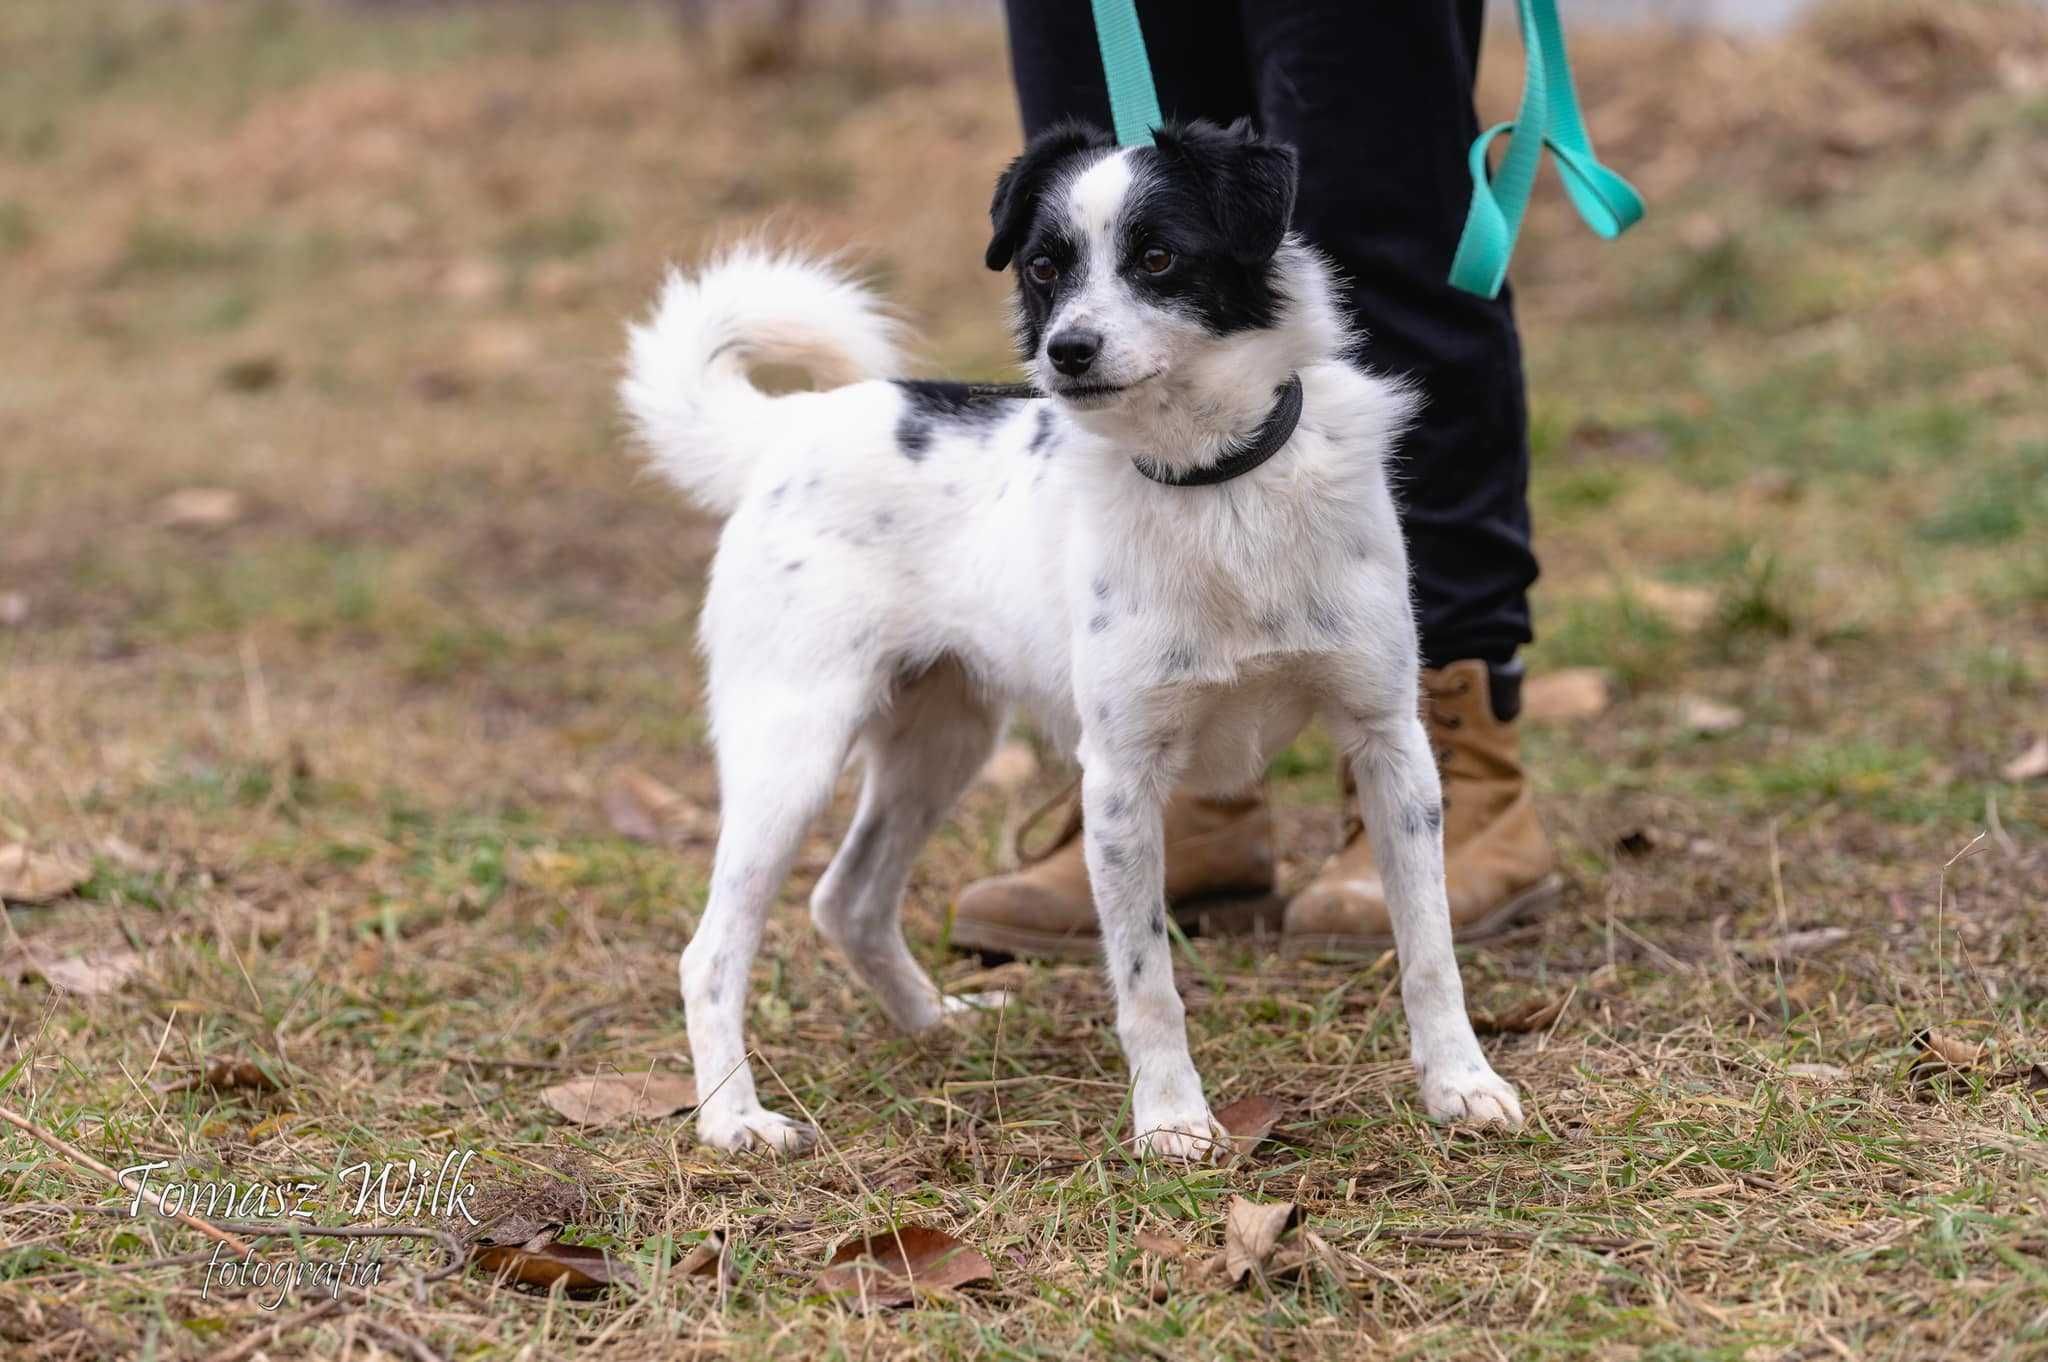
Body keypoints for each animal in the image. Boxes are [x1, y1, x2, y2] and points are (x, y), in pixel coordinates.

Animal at [618, 119, 1523, 1155]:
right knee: (711, 951)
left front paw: (1460, 1083)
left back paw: (936, 1026)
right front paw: (1172, 1122)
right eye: (1045, 267)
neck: (1214, 481)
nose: (1067, 351)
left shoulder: (1391, 745)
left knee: (847, 899)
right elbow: (1146, 982)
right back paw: (734, 1117)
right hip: (793, 749)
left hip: (942, 743)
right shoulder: (1121, 782)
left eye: (1159, 257)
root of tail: (788, 429)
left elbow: (1431, 947)